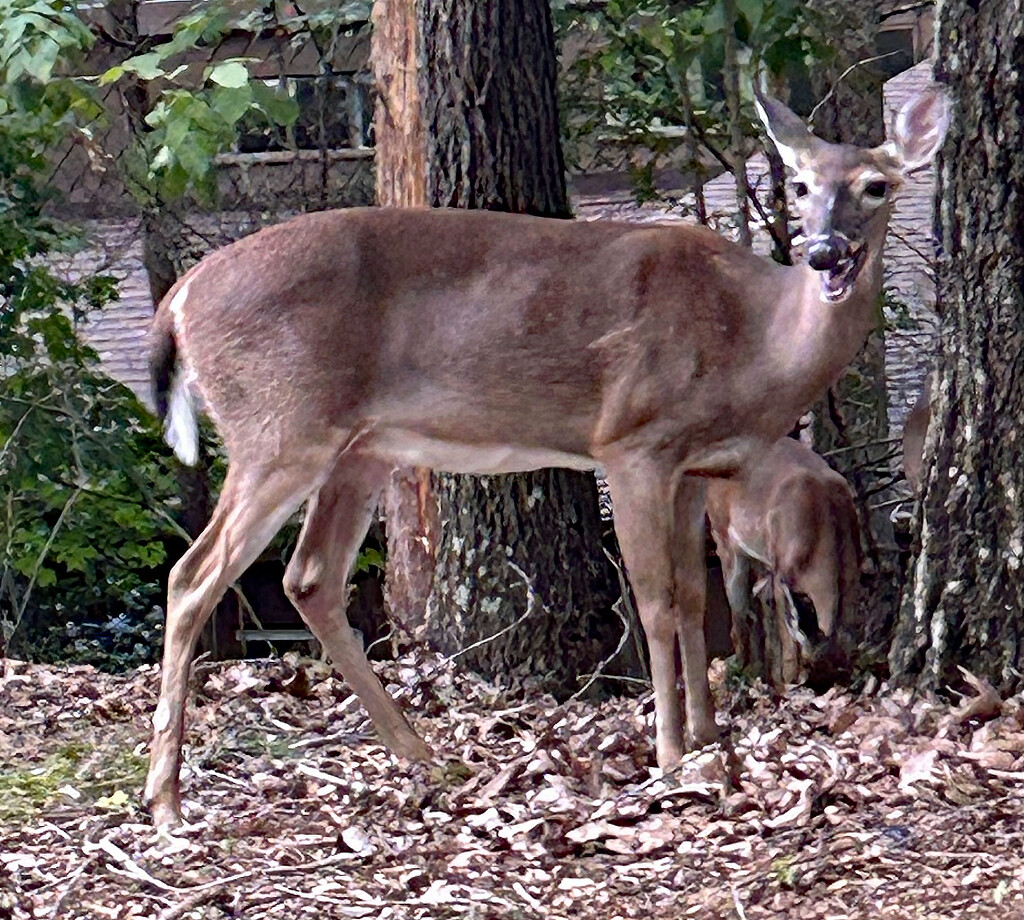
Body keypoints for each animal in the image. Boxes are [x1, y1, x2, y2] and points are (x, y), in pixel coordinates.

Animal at [704, 436, 864, 680]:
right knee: (737, 601)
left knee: (757, 603)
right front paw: (789, 677)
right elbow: (787, 631)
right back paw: (738, 666)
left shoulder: (852, 571)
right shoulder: (782, 573)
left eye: (840, 669)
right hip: (722, 533)